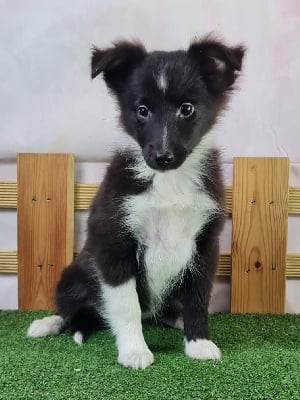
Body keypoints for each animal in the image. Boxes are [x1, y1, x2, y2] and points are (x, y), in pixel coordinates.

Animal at [27, 36, 244, 370]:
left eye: (187, 109)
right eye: (142, 110)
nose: (162, 157)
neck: (169, 181)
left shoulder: (205, 243)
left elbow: (197, 299)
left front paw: (198, 342)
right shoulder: (114, 240)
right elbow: (126, 305)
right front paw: (134, 351)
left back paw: (176, 319)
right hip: (72, 275)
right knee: (70, 309)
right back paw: (47, 323)